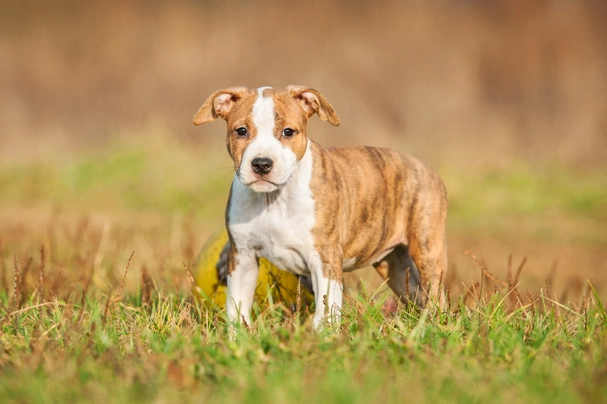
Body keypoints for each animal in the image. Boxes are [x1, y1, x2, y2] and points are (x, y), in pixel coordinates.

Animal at [192, 85, 448, 328]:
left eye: (288, 132)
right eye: (241, 131)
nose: (262, 164)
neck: (273, 199)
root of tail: (426, 169)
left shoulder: (325, 258)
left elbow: (326, 308)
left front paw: (321, 335)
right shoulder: (242, 258)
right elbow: (236, 307)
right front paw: (238, 337)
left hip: (427, 249)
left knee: (434, 293)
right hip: (394, 263)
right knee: (414, 291)